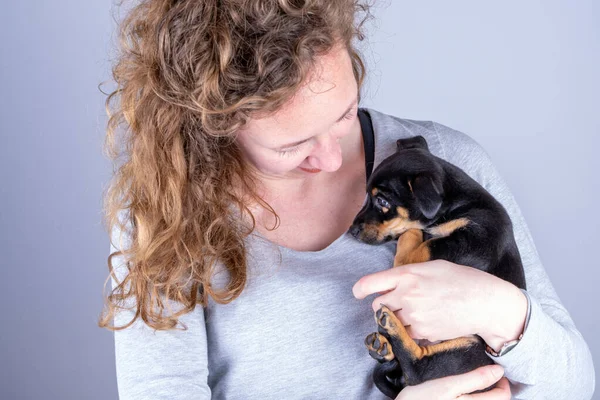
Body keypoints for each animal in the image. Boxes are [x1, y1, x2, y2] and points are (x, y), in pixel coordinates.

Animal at [350, 136, 528, 398]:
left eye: (382, 201)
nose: (351, 230)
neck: (456, 204)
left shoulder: (478, 239)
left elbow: (428, 245)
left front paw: (409, 242)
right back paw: (383, 347)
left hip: (467, 351)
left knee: (417, 371)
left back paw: (390, 328)